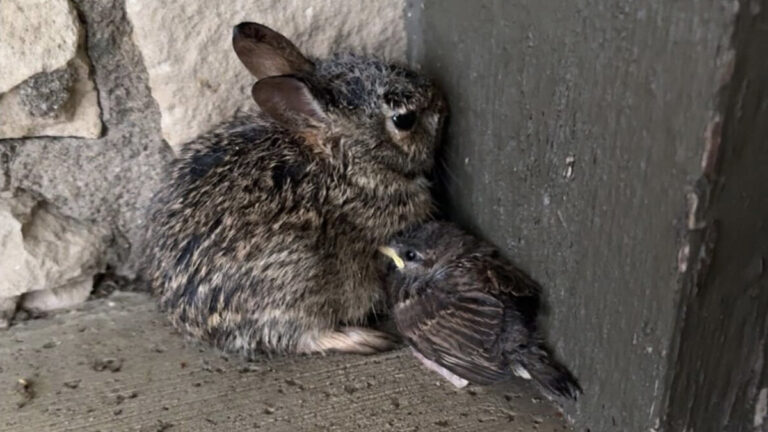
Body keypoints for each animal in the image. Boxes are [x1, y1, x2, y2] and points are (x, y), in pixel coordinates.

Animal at [142, 22, 447, 357]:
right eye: (404, 119)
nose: (441, 101)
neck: (347, 163)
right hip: (298, 285)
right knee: (301, 336)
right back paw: (364, 339)